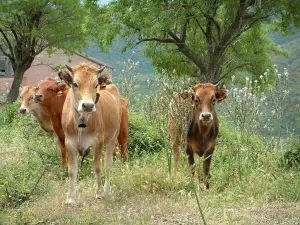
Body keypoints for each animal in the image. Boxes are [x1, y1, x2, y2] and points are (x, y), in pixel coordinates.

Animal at [59, 63, 122, 204]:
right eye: (75, 84)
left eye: (95, 84)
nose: (87, 105)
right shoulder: (69, 143)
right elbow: (72, 171)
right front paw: (70, 198)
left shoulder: (98, 142)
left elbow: (98, 167)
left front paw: (99, 192)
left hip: (113, 137)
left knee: (107, 164)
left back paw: (106, 189)